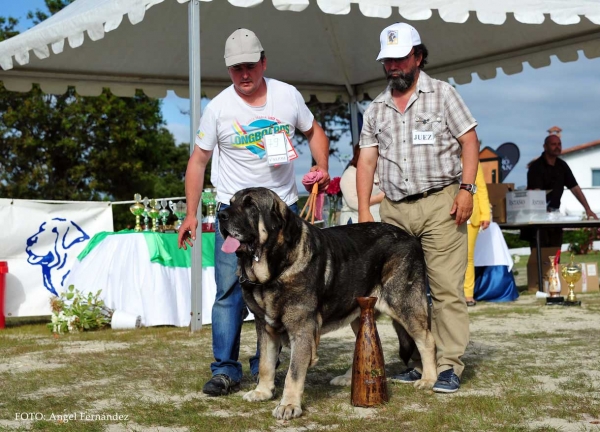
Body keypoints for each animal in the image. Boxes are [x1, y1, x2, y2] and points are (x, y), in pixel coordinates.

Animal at [218, 186, 434, 418]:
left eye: (250, 205)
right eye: (230, 203)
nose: (220, 215)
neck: (276, 269)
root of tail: (410, 237)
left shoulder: (301, 329)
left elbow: (293, 373)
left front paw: (289, 405)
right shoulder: (265, 326)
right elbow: (266, 363)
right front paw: (263, 392)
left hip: (404, 305)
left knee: (426, 340)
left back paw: (429, 379)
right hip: (360, 312)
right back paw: (349, 378)